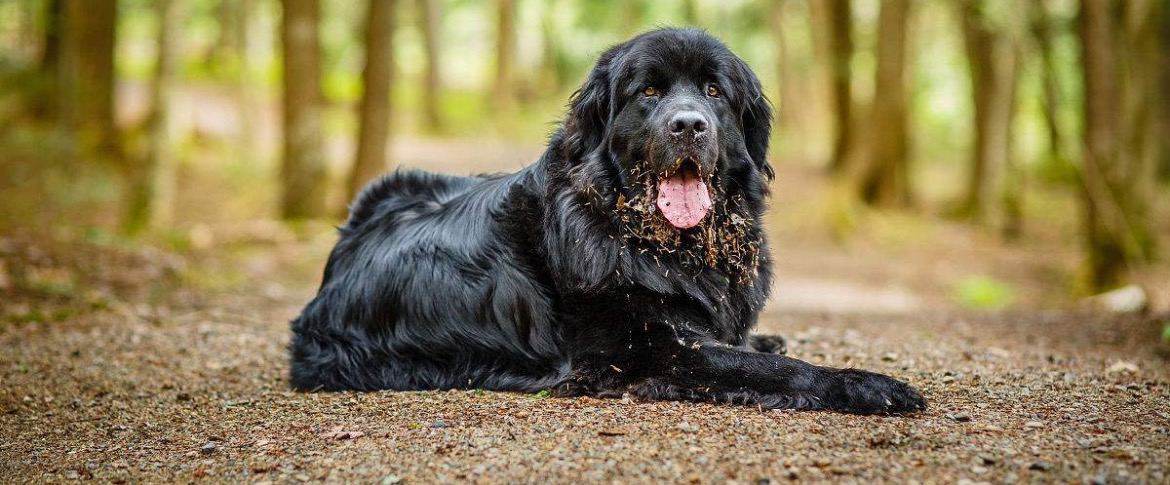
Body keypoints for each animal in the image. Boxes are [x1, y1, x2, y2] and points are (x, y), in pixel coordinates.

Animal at [290, 28, 921, 413]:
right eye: (649, 92)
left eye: (714, 91)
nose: (688, 125)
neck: (663, 245)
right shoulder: (650, 351)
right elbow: (769, 368)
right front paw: (865, 383)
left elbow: (750, 347)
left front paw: (765, 337)